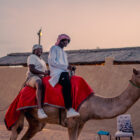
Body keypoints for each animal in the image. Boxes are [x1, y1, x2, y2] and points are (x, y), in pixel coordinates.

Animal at [9, 68, 140, 140]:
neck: (91, 103)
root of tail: (23, 87)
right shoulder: (72, 122)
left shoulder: (81, 123)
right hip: (20, 110)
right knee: (16, 130)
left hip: (35, 120)